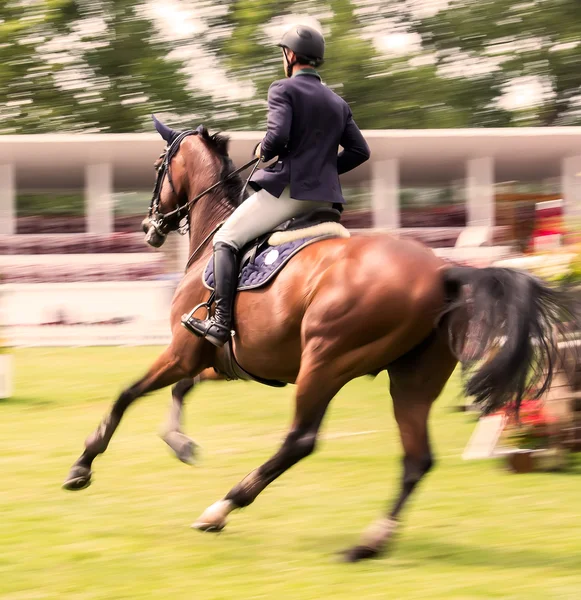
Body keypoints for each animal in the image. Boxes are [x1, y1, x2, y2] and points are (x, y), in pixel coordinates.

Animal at [62, 118, 572, 564]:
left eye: (157, 167)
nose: (148, 228)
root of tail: (443, 272)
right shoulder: (224, 361)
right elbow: (182, 389)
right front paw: (179, 442)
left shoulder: (184, 351)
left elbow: (126, 394)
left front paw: (82, 466)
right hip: (411, 378)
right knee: (417, 460)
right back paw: (369, 543)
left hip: (325, 361)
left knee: (300, 440)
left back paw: (221, 509)